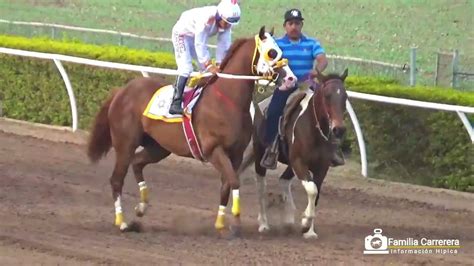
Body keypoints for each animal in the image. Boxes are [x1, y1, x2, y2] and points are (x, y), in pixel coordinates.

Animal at [85, 26, 296, 236]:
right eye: (272, 52)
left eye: (281, 51)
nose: (291, 79)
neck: (227, 101)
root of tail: (121, 91)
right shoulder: (213, 150)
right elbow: (234, 182)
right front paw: (235, 223)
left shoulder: (235, 154)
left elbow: (226, 185)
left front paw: (220, 223)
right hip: (125, 144)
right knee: (116, 180)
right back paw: (121, 222)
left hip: (158, 147)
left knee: (137, 163)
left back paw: (142, 207)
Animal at [241, 69, 348, 238]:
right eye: (327, 95)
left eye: (345, 97)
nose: (339, 129)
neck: (313, 129)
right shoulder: (299, 162)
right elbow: (312, 189)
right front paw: (305, 223)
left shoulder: (321, 168)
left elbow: (316, 194)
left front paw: (309, 230)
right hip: (260, 157)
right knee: (261, 188)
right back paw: (263, 224)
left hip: (290, 165)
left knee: (284, 181)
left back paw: (288, 219)